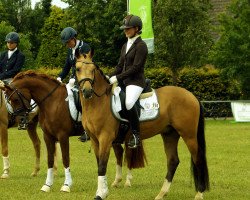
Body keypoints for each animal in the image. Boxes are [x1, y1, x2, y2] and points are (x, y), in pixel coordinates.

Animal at [74, 52, 209, 200]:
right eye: (78, 69)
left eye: (93, 70)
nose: (87, 91)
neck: (98, 102)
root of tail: (191, 95)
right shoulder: (94, 139)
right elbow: (99, 164)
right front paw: (101, 191)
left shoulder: (105, 138)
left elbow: (102, 166)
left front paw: (101, 194)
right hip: (170, 134)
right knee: (173, 161)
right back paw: (161, 194)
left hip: (188, 134)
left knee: (198, 159)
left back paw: (199, 194)